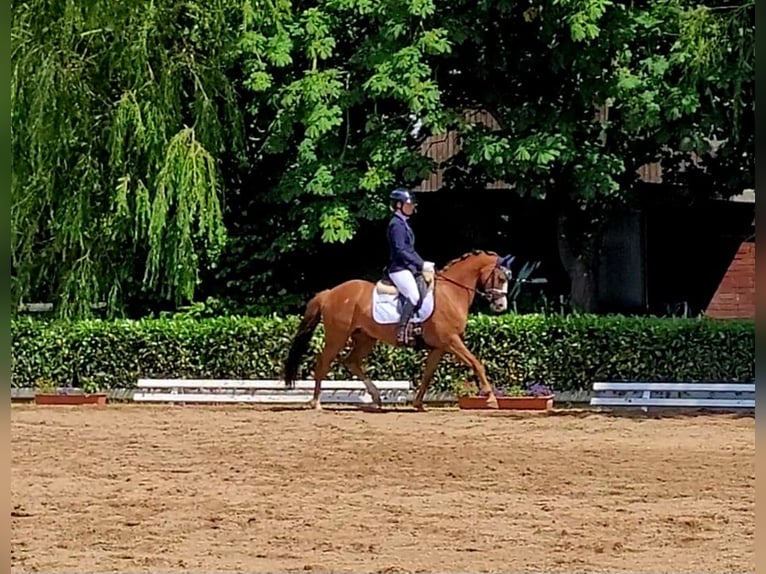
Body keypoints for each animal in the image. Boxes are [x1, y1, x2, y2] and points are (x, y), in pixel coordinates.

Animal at [284, 250, 516, 412]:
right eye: (501, 278)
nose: (501, 306)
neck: (452, 292)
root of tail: (330, 293)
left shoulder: (440, 346)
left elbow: (427, 374)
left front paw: (419, 403)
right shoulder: (451, 341)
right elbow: (476, 362)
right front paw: (490, 397)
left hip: (366, 338)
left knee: (351, 361)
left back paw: (376, 398)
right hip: (337, 337)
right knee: (323, 362)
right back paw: (316, 402)